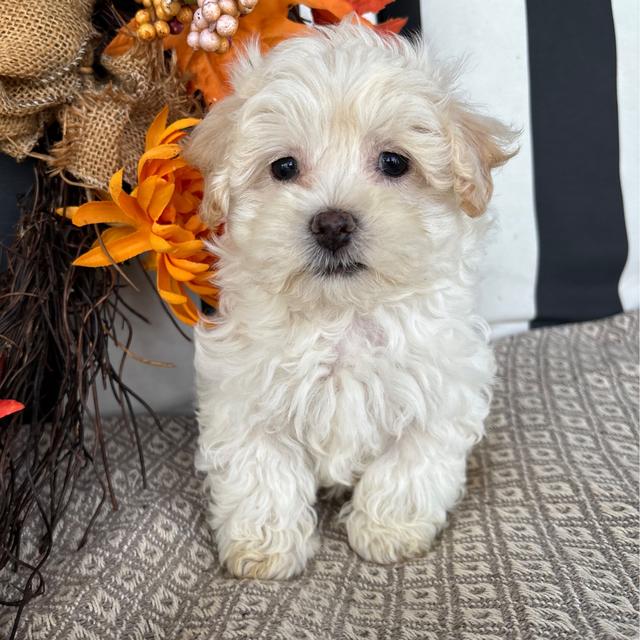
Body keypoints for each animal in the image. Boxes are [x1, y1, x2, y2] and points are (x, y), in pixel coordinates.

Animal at [184, 20, 516, 580]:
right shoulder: (243, 397)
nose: (332, 223)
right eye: (284, 167)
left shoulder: (439, 390)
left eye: (394, 162)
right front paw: (265, 548)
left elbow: (407, 466)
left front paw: (389, 532)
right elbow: (262, 474)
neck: (342, 316)